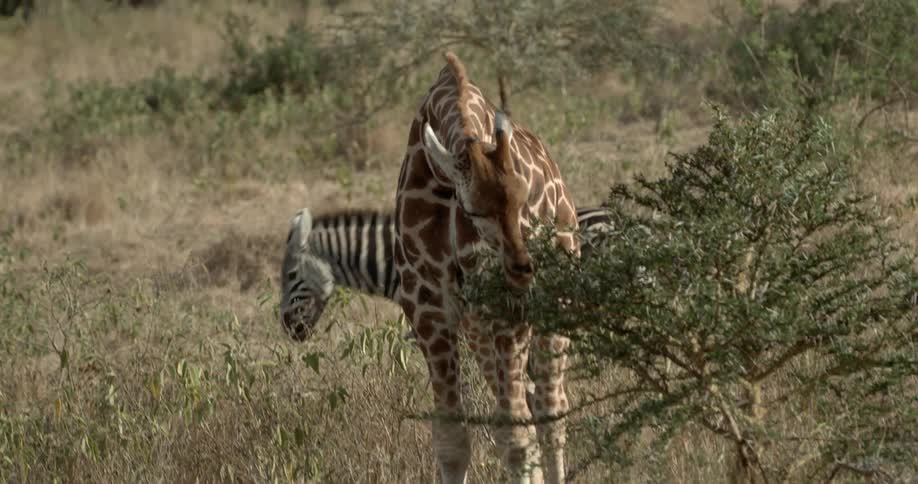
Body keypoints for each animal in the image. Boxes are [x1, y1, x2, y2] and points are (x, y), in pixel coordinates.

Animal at [393, 52, 579, 484]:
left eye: (523, 198)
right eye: (475, 210)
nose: (523, 269)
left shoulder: (508, 310)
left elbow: (515, 432)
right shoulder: (427, 308)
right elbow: (451, 437)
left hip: (552, 306)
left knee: (549, 411)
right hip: (478, 327)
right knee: (530, 405)